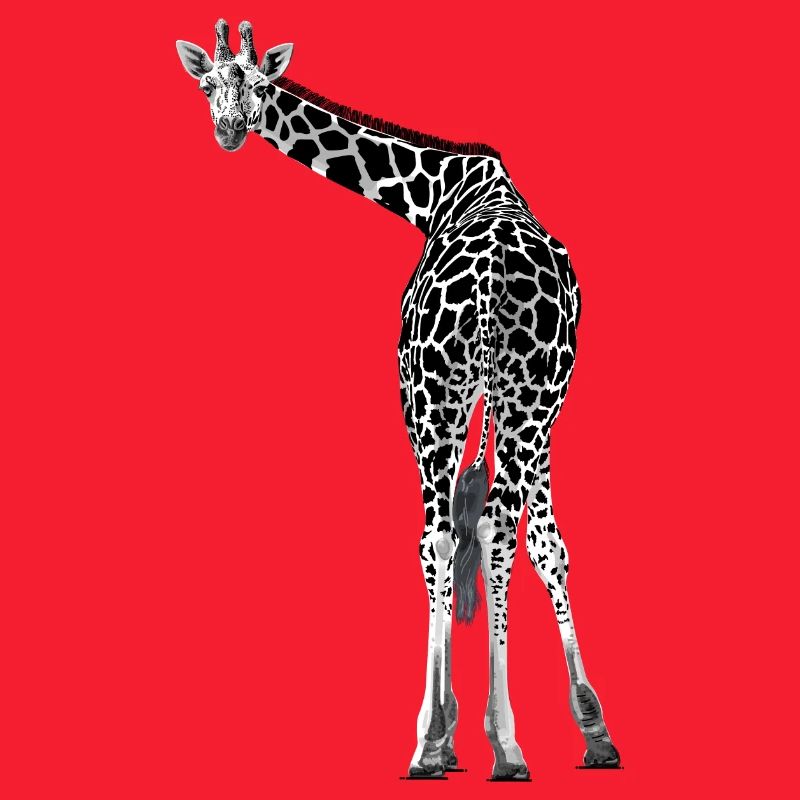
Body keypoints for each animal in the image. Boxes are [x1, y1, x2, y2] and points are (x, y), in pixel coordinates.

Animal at [177, 19, 621, 780]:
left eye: (260, 85)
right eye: (208, 85)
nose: (230, 129)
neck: (437, 189)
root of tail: (493, 280)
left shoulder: (428, 392)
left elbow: (449, 540)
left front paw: (444, 732)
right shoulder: (533, 401)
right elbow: (536, 539)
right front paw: (569, 729)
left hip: (435, 397)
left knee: (438, 536)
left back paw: (438, 742)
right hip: (527, 394)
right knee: (511, 529)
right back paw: (528, 744)